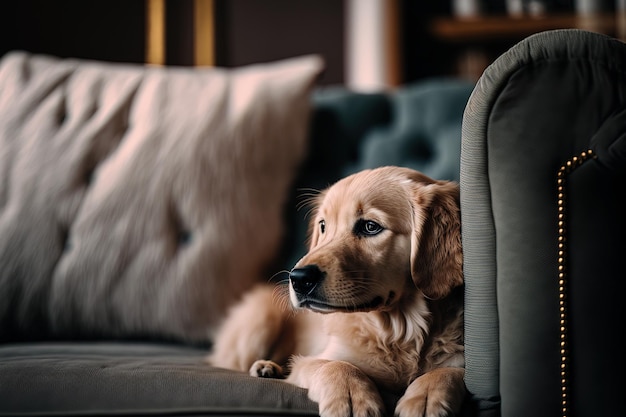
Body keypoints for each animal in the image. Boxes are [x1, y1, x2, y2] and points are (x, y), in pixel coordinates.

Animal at [208, 167, 464, 416]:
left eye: (370, 227)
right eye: (323, 226)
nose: (299, 279)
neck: (399, 330)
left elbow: (449, 373)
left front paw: (425, 398)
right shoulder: (317, 359)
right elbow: (335, 365)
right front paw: (352, 398)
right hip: (259, 320)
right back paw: (265, 366)